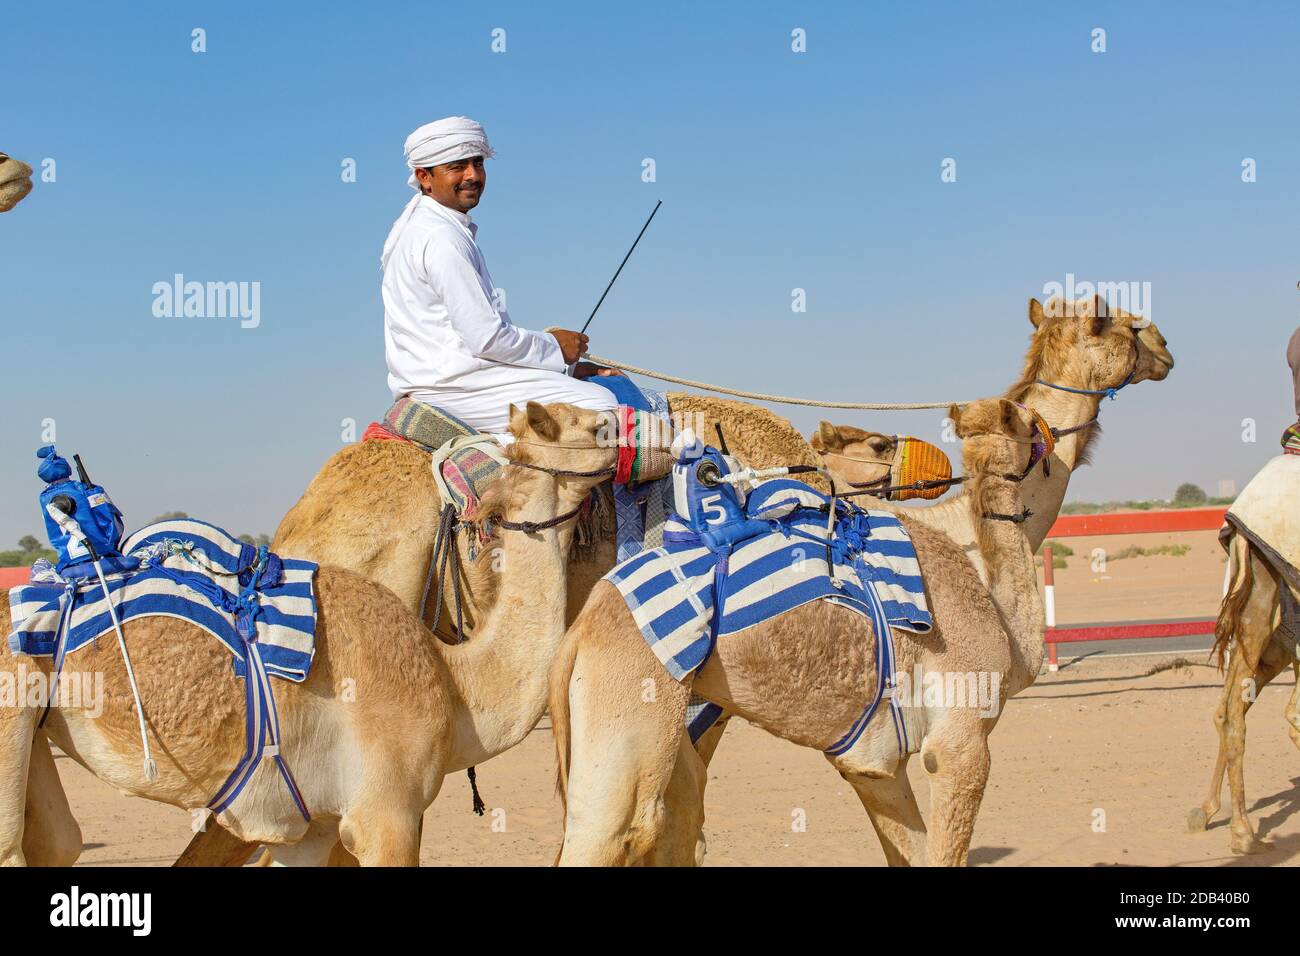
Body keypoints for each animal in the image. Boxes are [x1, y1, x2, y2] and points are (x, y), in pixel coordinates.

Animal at [4, 402, 615, 866]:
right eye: (591, 425)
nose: (626, 427)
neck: (454, 681)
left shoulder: (311, 828)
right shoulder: (386, 814)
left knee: (59, 843)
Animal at [550, 398, 1048, 865]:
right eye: (1027, 419)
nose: (1048, 432)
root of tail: (580, 631)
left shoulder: (875, 770)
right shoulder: (960, 741)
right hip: (632, 702)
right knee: (616, 831)